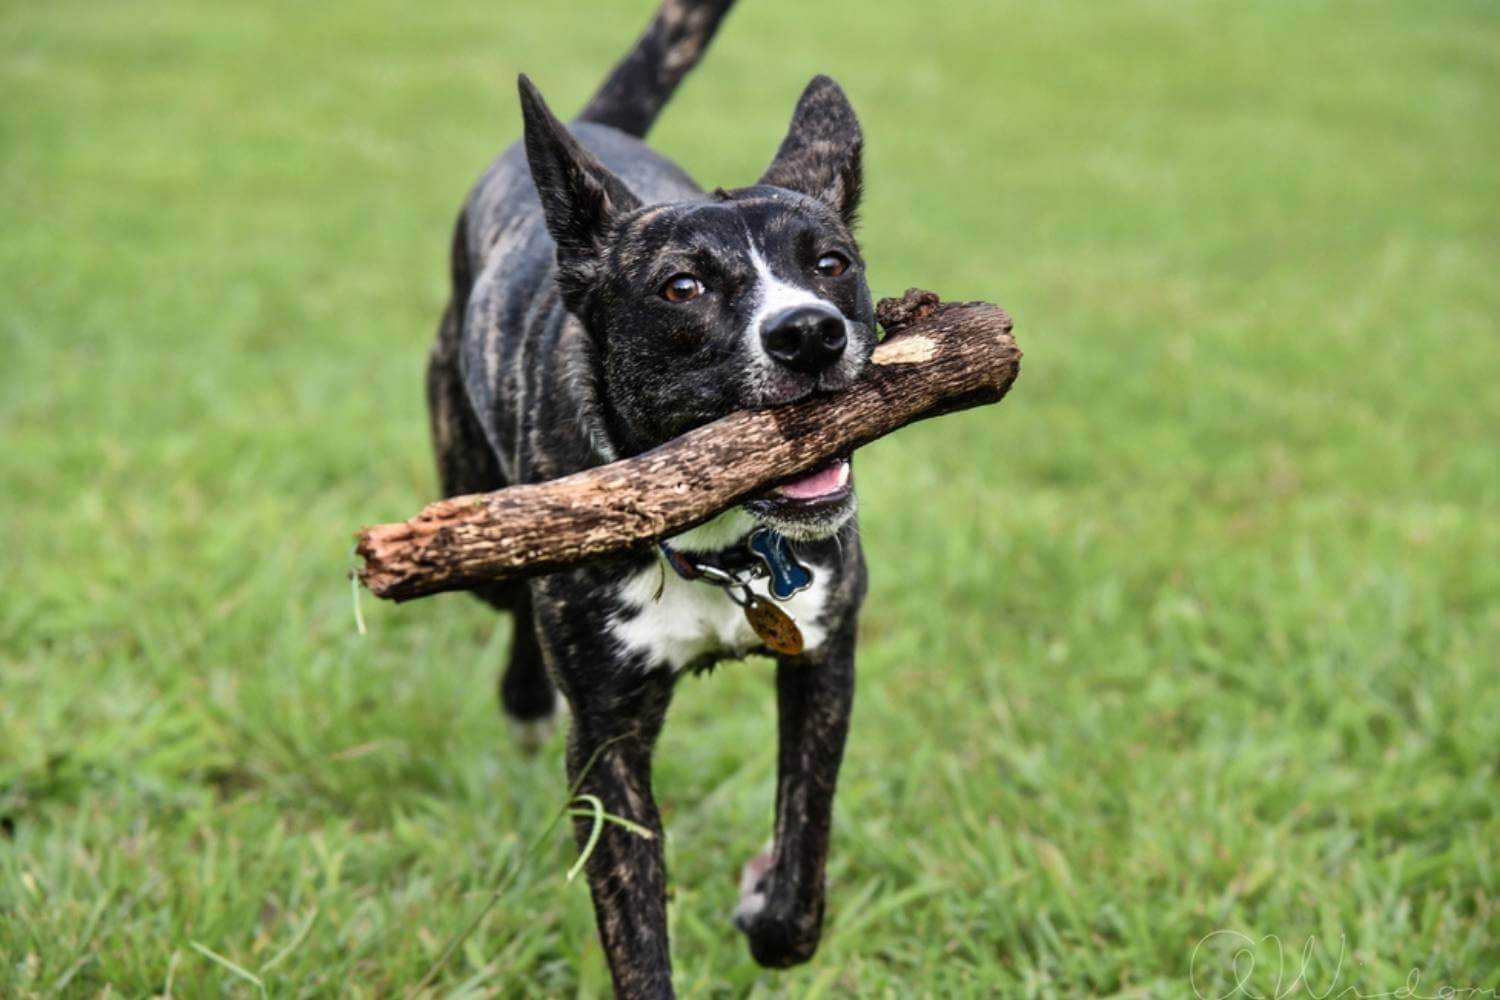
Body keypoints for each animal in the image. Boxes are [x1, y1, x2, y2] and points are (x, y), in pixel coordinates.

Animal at [423, 1, 876, 995]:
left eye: (832, 264)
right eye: (684, 286)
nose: (810, 333)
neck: (718, 537)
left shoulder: (825, 657)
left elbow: (804, 863)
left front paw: (764, 900)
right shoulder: (610, 743)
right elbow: (635, 924)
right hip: (474, 499)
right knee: (508, 598)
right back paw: (524, 702)